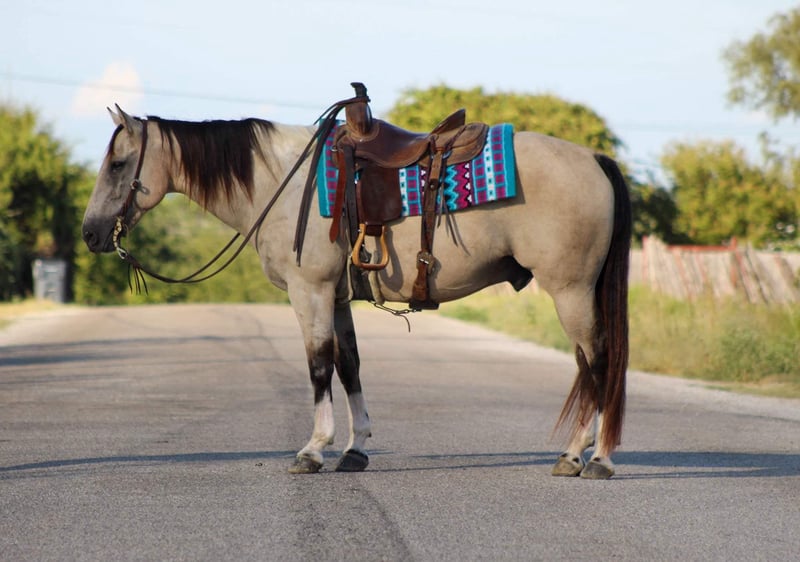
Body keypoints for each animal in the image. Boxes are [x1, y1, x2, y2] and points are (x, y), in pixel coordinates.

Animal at [82, 101, 631, 479]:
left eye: (117, 165)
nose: (90, 233)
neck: (282, 183)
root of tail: (593, 159)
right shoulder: (339, 296)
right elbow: (349, 365)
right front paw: (355, 448)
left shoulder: (310, 291)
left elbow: (318, 364)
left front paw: (313, 449)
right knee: (587, 367)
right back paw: (574, 454)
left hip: (571, 291)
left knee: (599, 362)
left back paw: (595, 459)